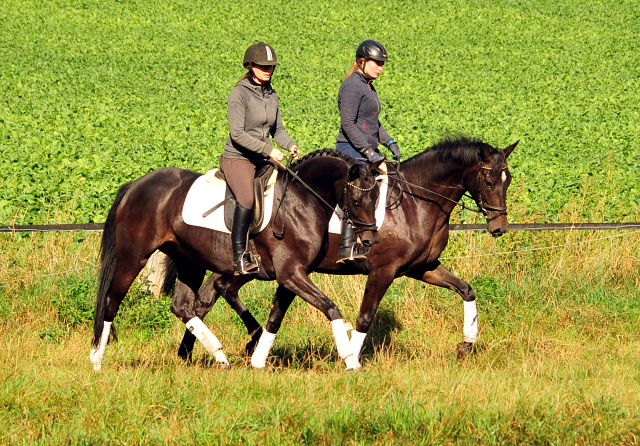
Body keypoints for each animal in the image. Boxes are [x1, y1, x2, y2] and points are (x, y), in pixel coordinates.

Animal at [90, 148, 380, 372]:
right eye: (356, 199)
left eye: (376, 197)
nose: (369, 239)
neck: (300, 203)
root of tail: (136, 185)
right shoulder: (291, 274)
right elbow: (331, 308)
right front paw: (350, 359)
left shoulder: (293, 275)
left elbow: (276, 317)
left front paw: (258, 359)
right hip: (133, 258)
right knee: (111, 302)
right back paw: (97, 360)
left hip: (189, 262)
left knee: (183, 307)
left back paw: (219, 355)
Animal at [172, 136, 516, 366]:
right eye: (488, 181)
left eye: (508, 179)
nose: (499, 226)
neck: (414, 202)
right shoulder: (383, 271)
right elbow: (364, 317)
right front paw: (351, 356)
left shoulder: (423, 267)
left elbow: (466, 290)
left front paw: (466, 345)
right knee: (214, 292)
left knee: (210, 294)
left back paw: (195, 352)